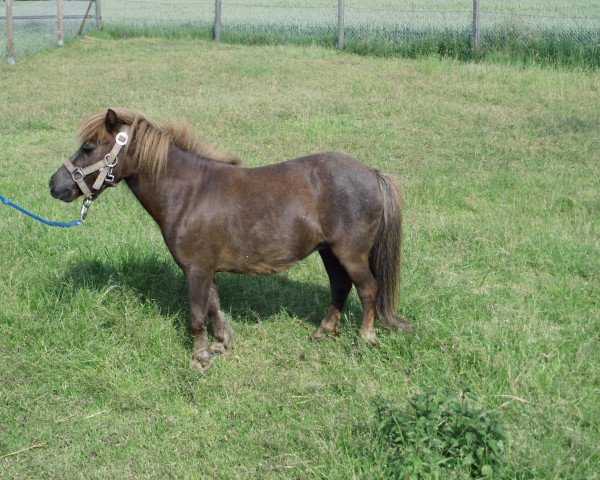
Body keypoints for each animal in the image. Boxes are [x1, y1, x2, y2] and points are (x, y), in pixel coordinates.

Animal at [49, 109, 410, 376]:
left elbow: (197, 315)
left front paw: (199, 359)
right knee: (340, 287)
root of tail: (372, 173)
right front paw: (221, 344)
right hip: (330, 252)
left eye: (88, 148)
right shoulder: (204, 268)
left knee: (368, 290)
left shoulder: (195, 268)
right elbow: (213, 305)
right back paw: (323, 332)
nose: (55, 184)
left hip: (350, 252)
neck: (189, 192)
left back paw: (364, 340)